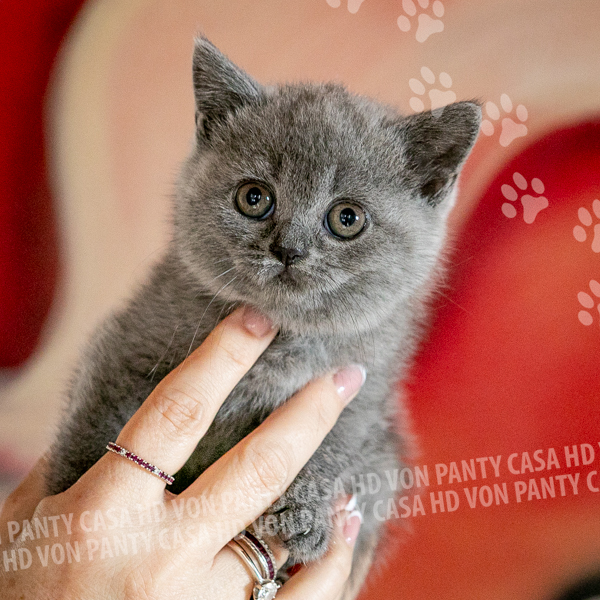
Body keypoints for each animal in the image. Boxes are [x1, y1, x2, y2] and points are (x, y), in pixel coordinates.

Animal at [45, 36, 480, 596]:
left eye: (347, 218)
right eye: (254, 197)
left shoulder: (366, 397)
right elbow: (96, 415)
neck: (280, 342)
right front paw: (68, 504)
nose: (288, 249)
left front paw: (306, 513)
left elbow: (344, 444)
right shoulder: (124, 343)